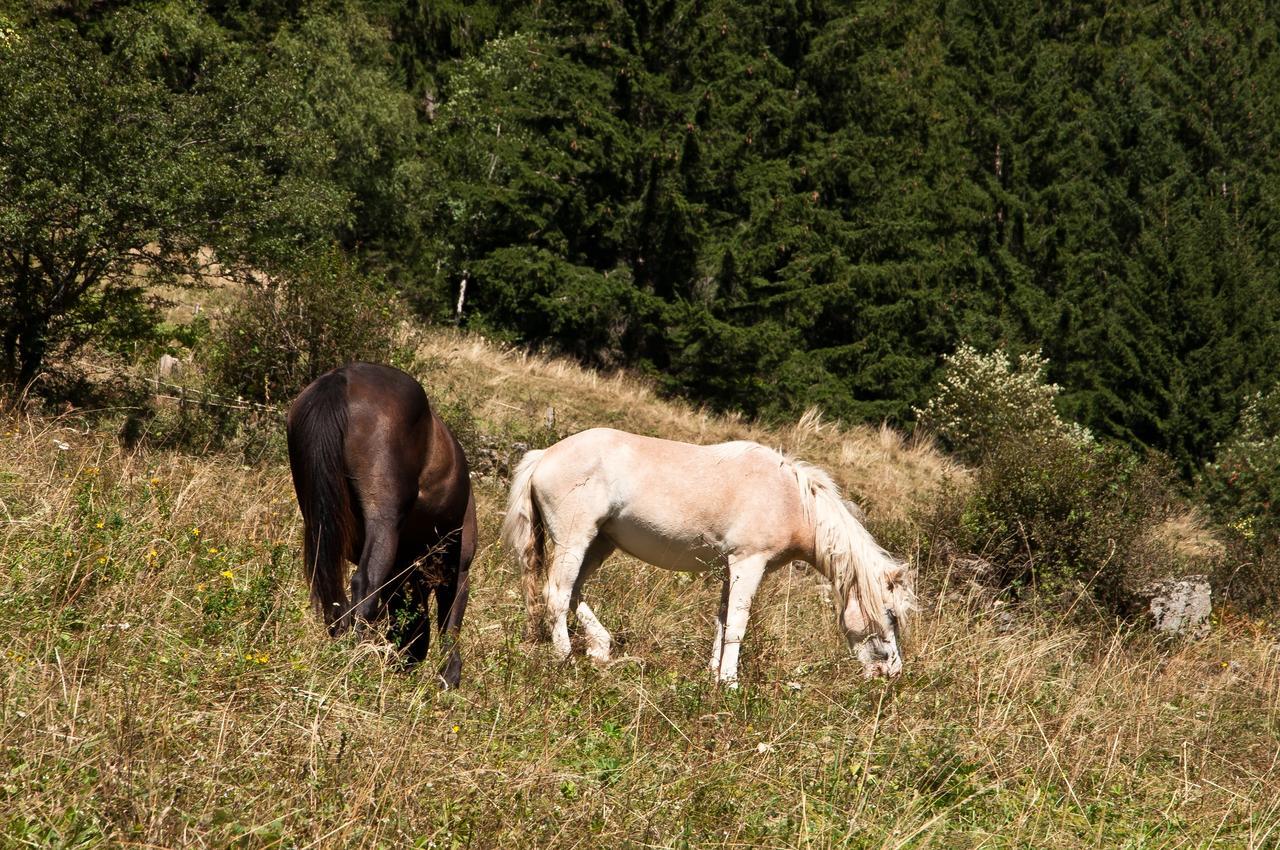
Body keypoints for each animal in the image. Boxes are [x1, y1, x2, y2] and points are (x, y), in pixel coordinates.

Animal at [285, 360, 476, 686]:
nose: (403, 665)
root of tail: (343, 378)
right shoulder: (457, 570)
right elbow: (450, 625)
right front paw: (449, 677)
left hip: (320, 521)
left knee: (330, 588)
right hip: (383, 523)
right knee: (365, 584)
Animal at [499, 427, 911, 681]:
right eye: (890, 616)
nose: (892, 674)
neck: (789, 500)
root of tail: (544, 455)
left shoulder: (732, 569)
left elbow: (723, 620)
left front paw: (713, 676)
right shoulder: (748, 563)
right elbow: (738, 625)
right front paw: (730, 682)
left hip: (600, 543)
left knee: (573, 592)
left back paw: (601, 648)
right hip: (575, 540)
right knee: (557, 593)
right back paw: (565, 658)